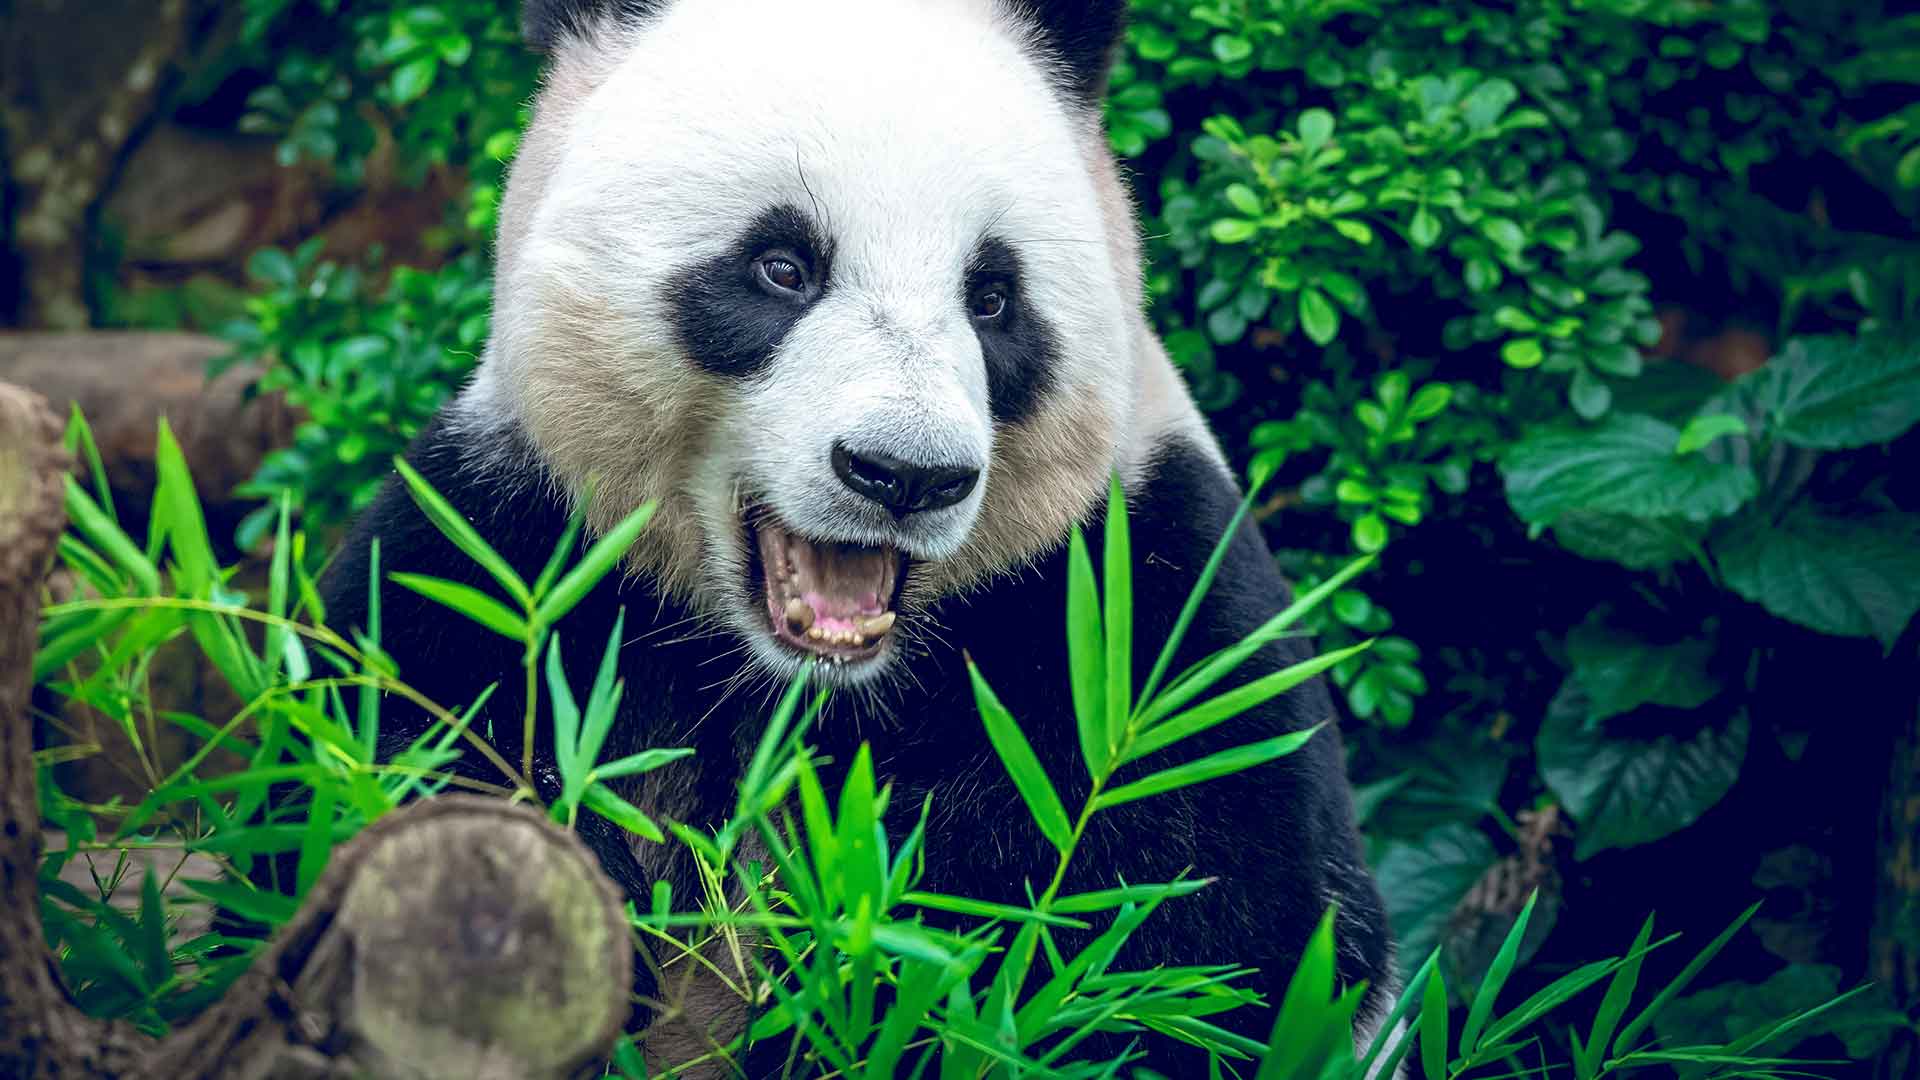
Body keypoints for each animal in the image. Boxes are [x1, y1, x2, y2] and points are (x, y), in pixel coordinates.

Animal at [318, 0, 1397, 1060]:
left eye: (993, 296)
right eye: (782, 264)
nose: (905, 474)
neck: (795, 687)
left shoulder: (1143, 619)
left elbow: (1183, 960)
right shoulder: (506, 546)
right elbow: (381, 756)